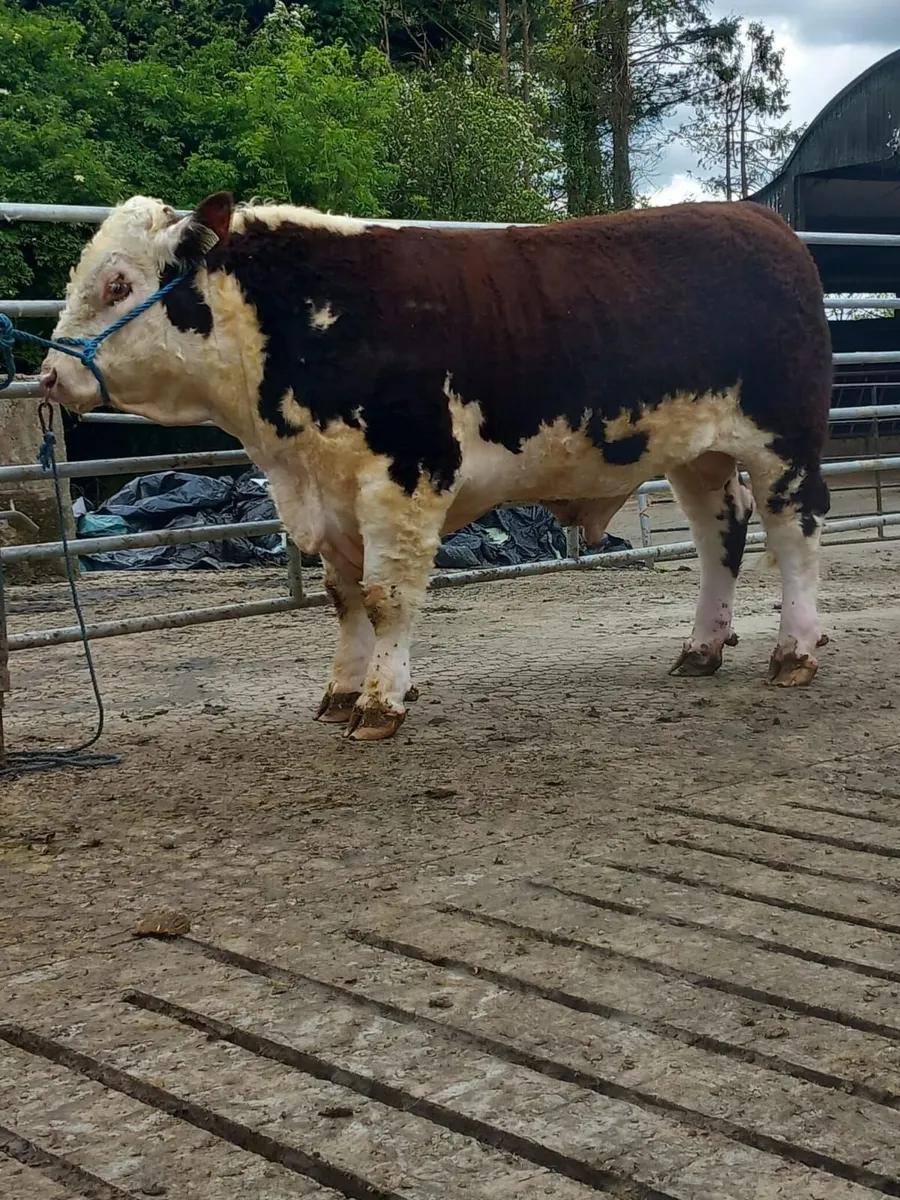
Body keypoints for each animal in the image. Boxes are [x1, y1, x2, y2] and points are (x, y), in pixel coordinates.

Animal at [40, 193, 832, 740]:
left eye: (117, 284)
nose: (49, 375)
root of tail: (758, 218)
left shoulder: (404, 476)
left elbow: (387, 596)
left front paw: (381, 702)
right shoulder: (329, 491)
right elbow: (345, 598)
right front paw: (341, 692)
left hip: (785, 443)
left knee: (794, 536)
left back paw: (794, 652)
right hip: (699, 454)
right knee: (719, 537)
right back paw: (702, 647)